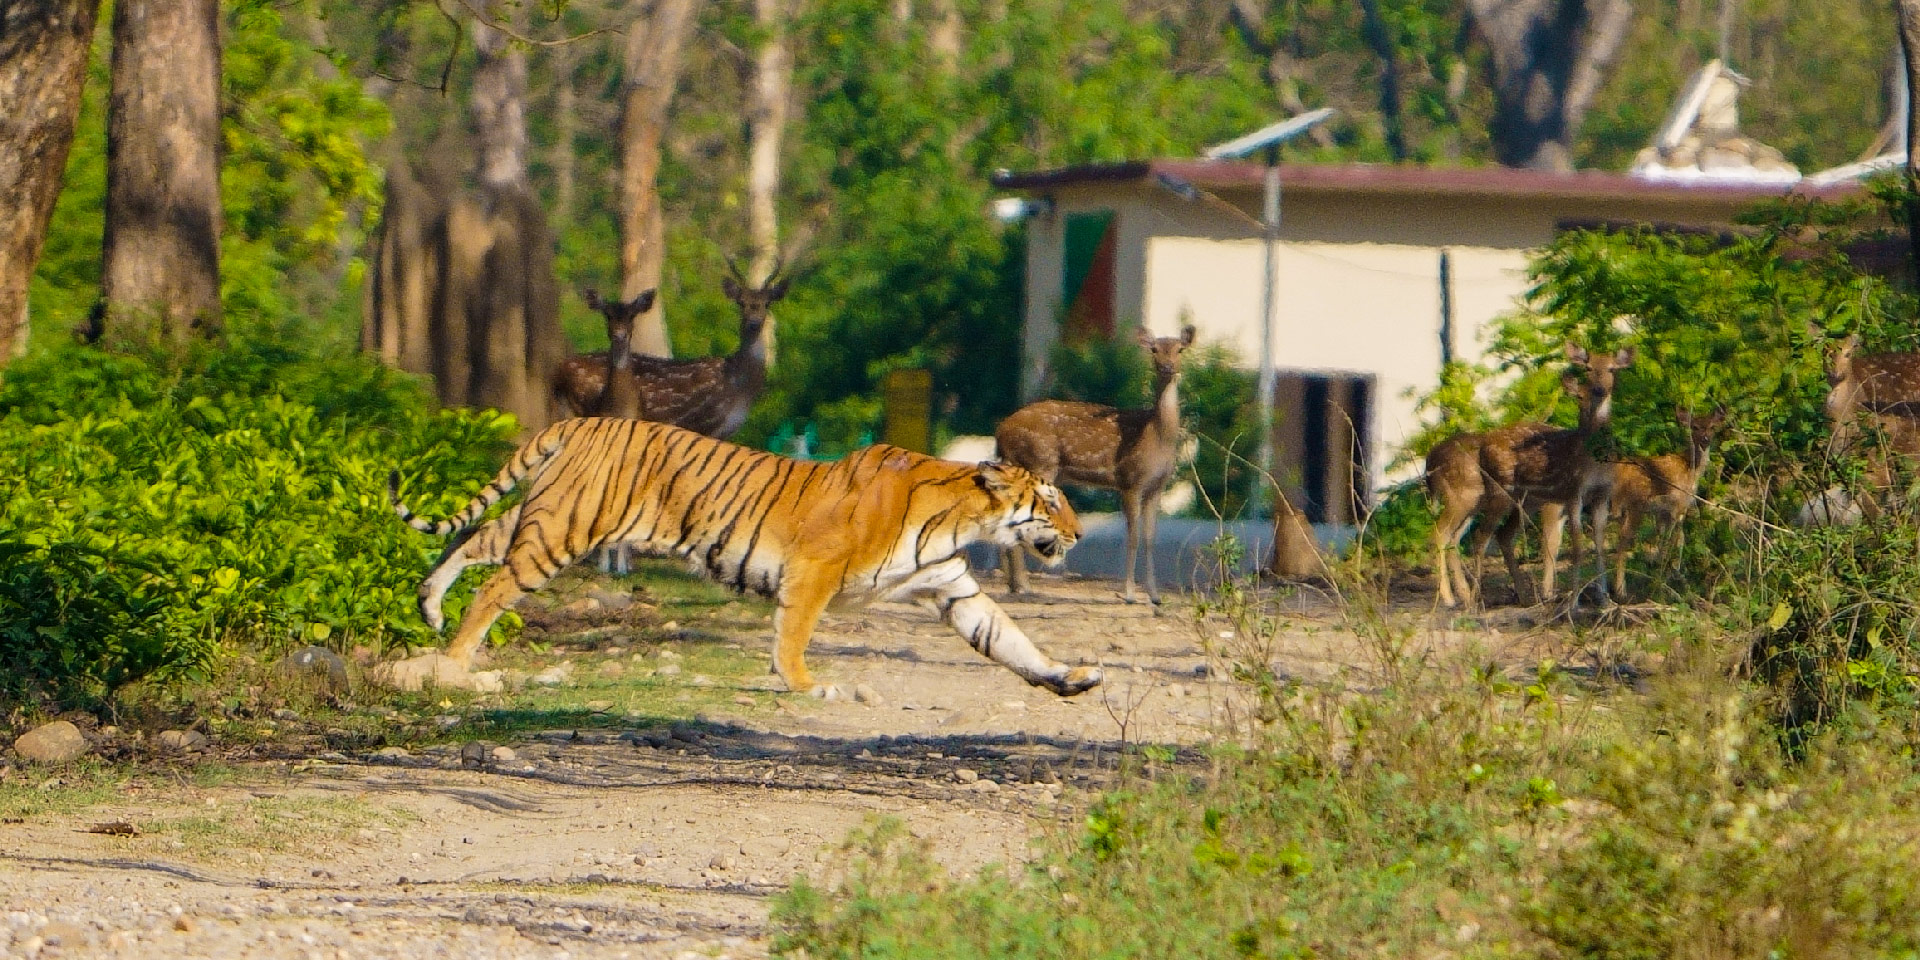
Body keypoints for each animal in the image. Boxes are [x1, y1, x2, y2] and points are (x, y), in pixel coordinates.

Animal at [389, 420, 1105, 698]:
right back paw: (454, 663)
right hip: (560, 532)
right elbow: (793, 633)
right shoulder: (815, 571)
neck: (962, 518)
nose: (1077, 535)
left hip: (543, 517)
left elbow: (1009, 639)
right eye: (1051, 501)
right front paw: (806, 685)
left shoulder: (954, 589)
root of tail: (579, 421)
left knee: (473, 540)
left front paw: (1070, 677)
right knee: (493, 588)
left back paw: (429, 606)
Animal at [998, 326, 1190, 602]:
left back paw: (1015, 585)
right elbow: (1132, 536)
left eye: (1180, 349)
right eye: (1154, 349)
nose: (1167, 367)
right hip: (1038, 462)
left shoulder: (1156, 487)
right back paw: (1024, 586)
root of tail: (1000, 431)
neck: (1156, 435)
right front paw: (1129, 593)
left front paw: (1154, 596)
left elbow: (1150, 538)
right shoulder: (1129, 480)